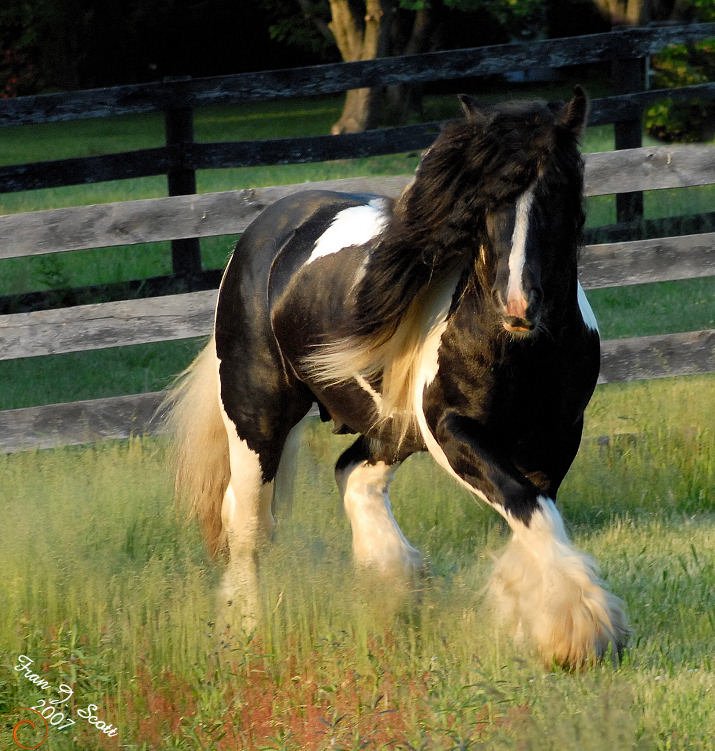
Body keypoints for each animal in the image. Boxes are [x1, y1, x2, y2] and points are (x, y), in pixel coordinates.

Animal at [165, 88, 628, 668]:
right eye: (482, 203)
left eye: (560, 193)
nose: (518, 307)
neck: (517, 351)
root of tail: (262, 234)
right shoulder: (452, 431)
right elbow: (525, 505)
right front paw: (579, 630)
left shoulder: (557, 437)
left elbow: (536, 513)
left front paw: (549, 627)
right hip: (257, 417)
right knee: (250, 527)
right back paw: (247, 636)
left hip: (390, 428)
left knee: (351, 473)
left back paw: (394, 583)